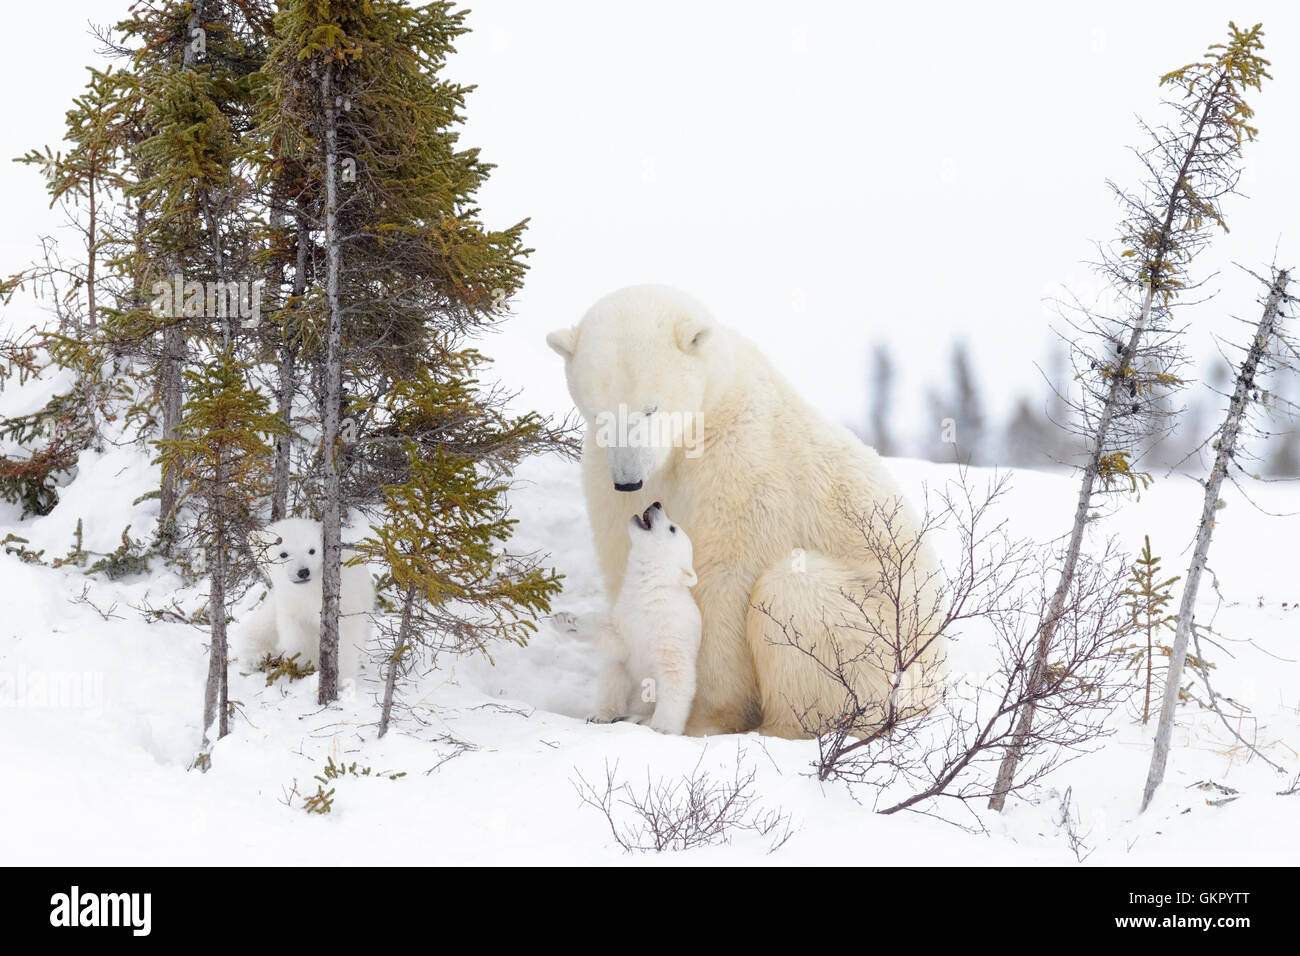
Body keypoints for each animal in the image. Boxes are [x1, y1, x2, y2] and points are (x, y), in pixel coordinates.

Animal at [235, 518, 376, 685]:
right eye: (283, 554)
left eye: (312, 550)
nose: (303, 572)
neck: (311, 590)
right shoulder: (292, 604)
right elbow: (298, 637)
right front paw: (305, 667)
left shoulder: (346, 599)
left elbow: (346, 636)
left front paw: (341, 679)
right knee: (261, 625)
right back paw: (258, 656)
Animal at [586, 501, 702, 735]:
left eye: (672, 528)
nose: (656, 503)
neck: (650, 593)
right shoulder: (624, 619)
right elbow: (614, 672)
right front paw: (600, 715)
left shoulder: (670, 631)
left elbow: (675, 675)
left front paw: (662, 729)